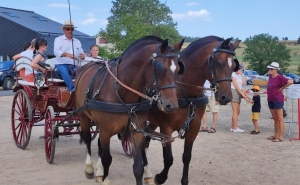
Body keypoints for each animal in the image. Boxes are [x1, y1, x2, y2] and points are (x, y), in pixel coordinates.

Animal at [74, 35, 184, 184]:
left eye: (178, 68)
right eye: (161, 68)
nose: (172, 106)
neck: (122, 93)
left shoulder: (136, 131)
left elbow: (138, 166)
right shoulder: (106, 130)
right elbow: (107, 158)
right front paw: (105, 178)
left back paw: (99, 170)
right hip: (83, 116)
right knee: (87, 139)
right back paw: (90, 168)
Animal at [144, 35, 241, 184]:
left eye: (234, 66)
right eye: (219, 63)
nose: (226, 97)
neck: (187, 94)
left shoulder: (194, 126)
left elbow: (187, 156)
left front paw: (184, 180)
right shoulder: (166, 128)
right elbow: (169, 159)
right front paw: (160, 177)